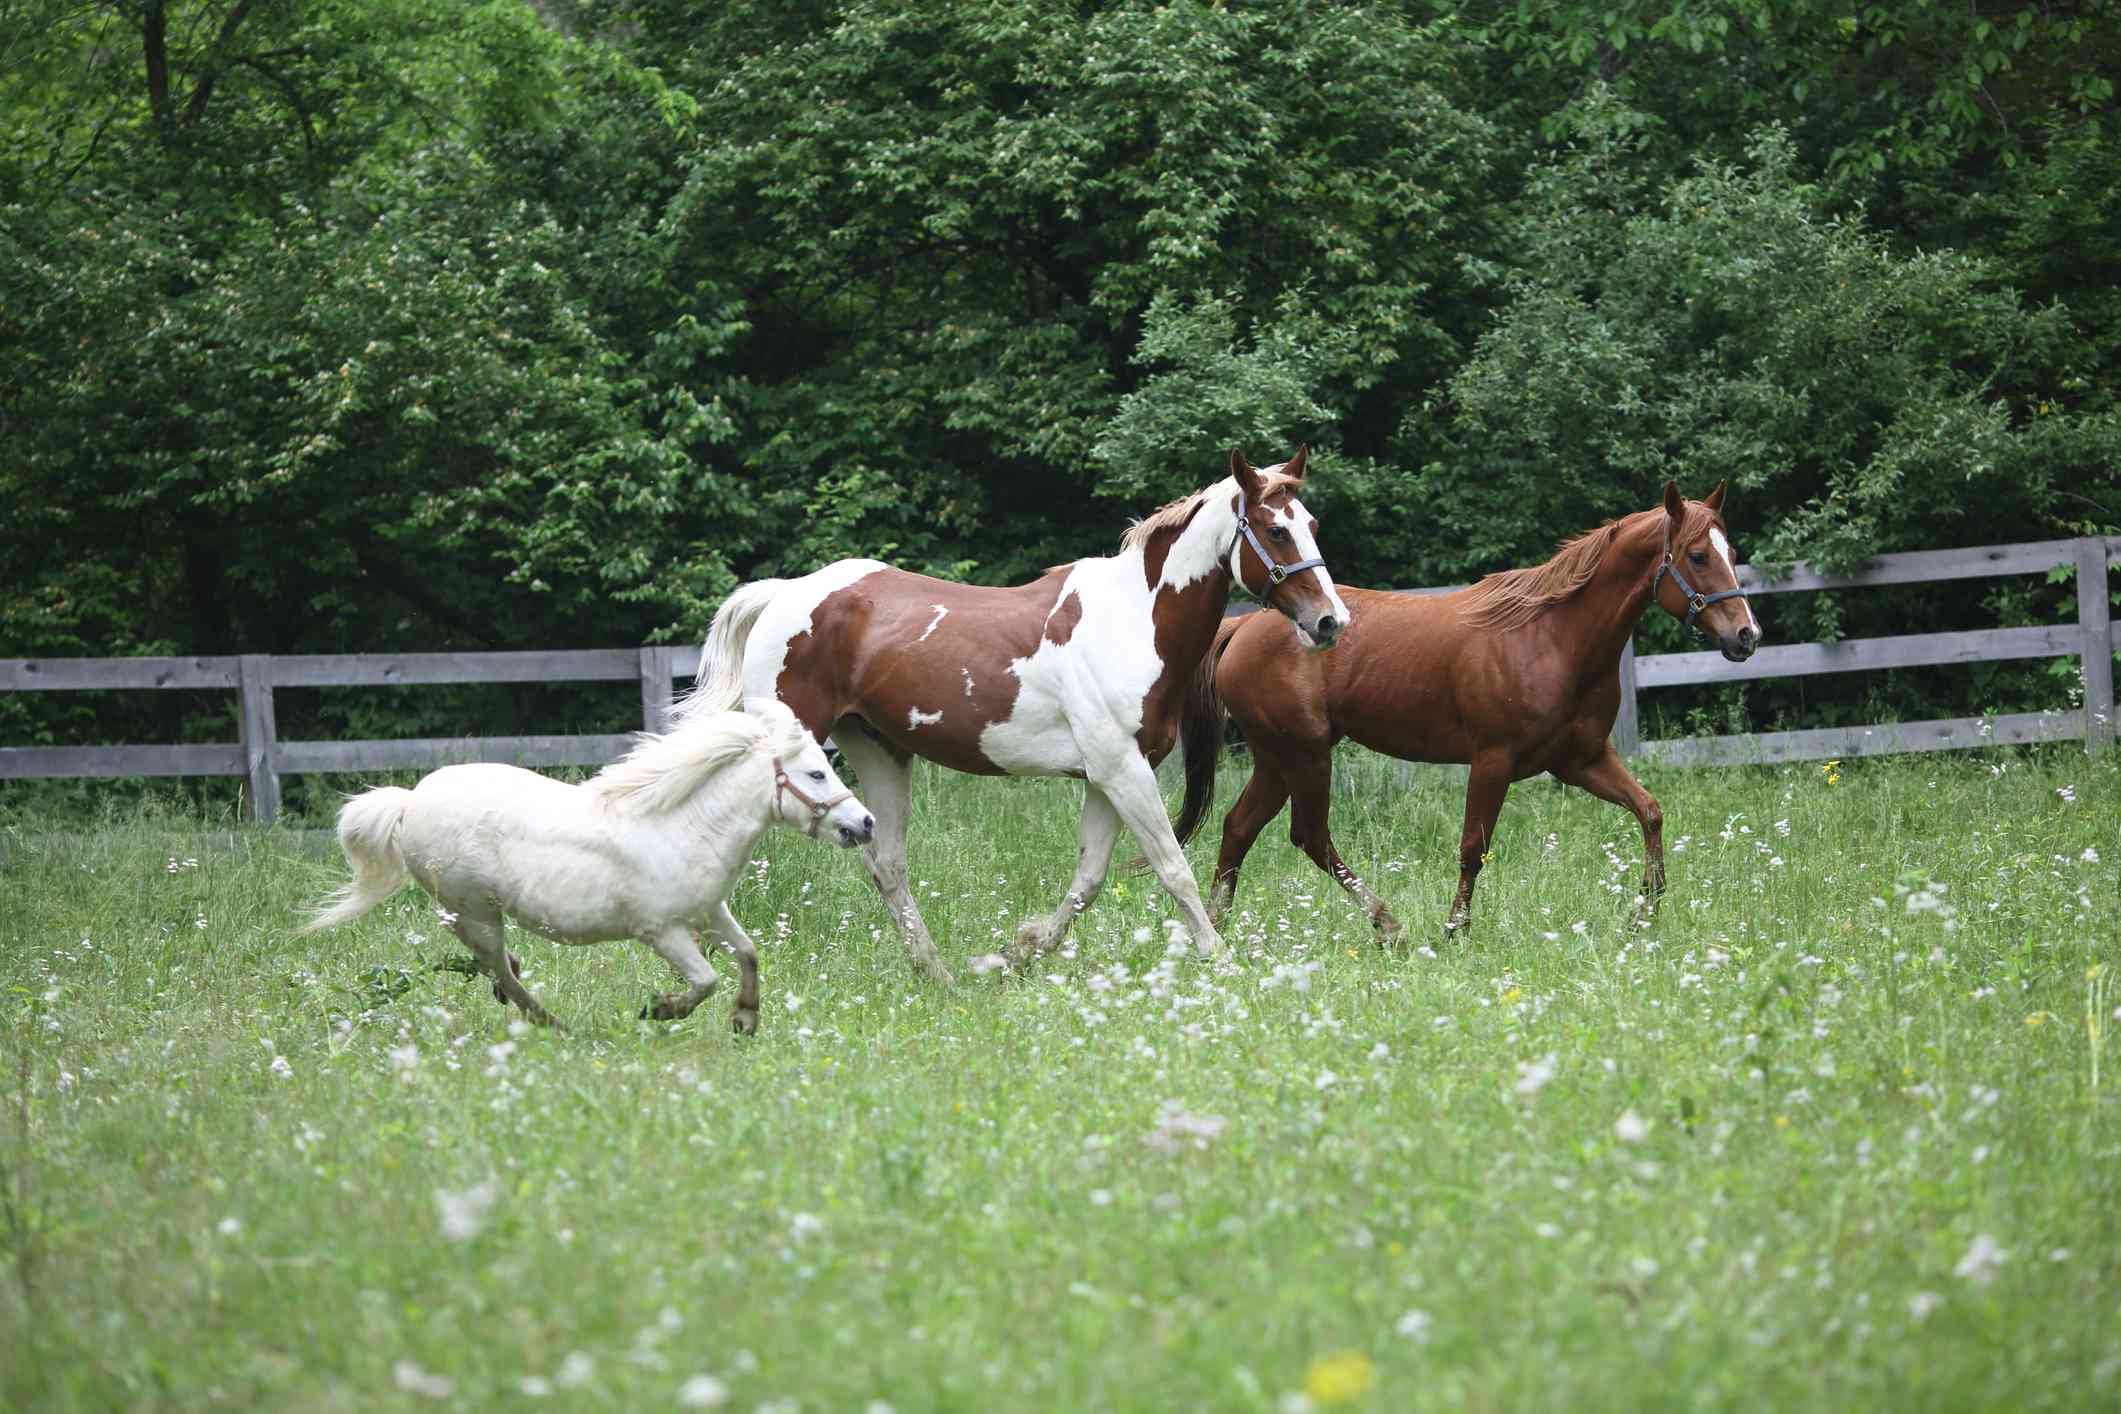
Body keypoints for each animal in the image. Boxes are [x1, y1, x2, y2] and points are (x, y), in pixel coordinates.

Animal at [299, 703, 869, 1034]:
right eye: (816, 773)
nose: (864, 824)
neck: (684, 826)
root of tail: (409, 801)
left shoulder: (710, 913)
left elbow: (749, 953)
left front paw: (745, 1019)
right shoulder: (662, 931)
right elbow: (705, 980)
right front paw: (659, 1010)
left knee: (495, 966)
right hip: (476, 909)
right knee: (498, 967)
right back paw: (554, 1024)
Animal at [678, 447, 1340, 979]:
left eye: (1312, 523)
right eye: (1275, 530)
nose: (1331, 622)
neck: (1133, 619)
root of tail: (784, 594)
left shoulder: (1107, 776)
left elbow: (1088, 879)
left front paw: (1015, 953)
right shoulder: (1122, 770)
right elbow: (1173, 867)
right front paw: (1219, 960)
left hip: (880, 751)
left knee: (886, 863)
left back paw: (937, 974)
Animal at [1179, 483, 1756, 941]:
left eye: (1730, 550)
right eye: (1698, 556)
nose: (1746, 635)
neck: (1551, 638)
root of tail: (1243, 628)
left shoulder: (1581, 760)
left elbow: (1650, 811)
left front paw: (1645, 910)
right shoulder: (1493, 761)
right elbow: (1473, 848)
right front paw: (1456, 930)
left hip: (1277, 760)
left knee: (1239, 827)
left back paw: (1218, 924)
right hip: (1305, 755)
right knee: (1309, 836)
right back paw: (1388, 925)